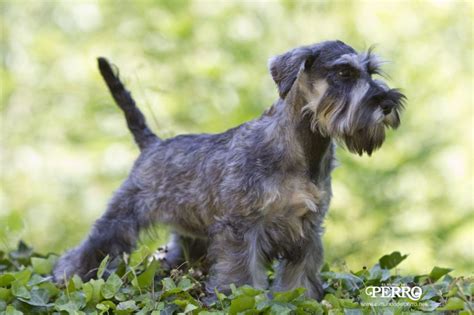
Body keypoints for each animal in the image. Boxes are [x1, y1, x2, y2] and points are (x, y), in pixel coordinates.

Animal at [53, 40, 406, 300]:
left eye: (371, 71)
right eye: (343, 72)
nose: (387, 102)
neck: (302, 149)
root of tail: (152, 145)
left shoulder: (307, 227)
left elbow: (300, 273)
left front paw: (298, 299)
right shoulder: (242, 226)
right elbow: (241, 270)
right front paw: (242, 296)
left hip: (192, 236)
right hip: (122, 216)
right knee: (91, 248)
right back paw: (65, 277)